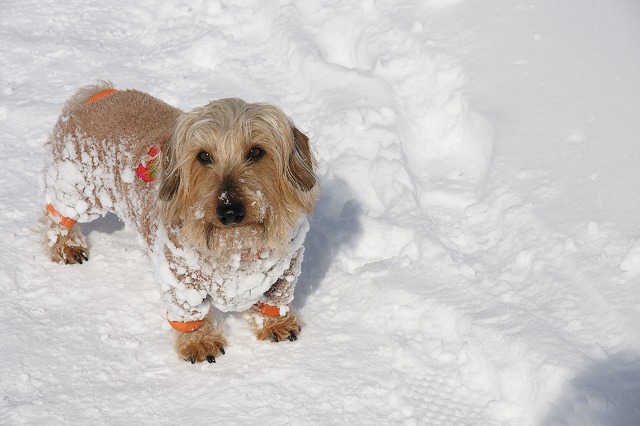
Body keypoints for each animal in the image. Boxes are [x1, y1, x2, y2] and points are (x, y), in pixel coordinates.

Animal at [42, 82, 318, 362]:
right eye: (204, 156)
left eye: (256, 151)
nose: (230, 211)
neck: (235, 247)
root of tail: (99, 93)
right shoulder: (180, 275)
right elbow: (188, 312)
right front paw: (199, 342)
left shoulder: (284, 270)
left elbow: (274, 301)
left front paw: (276, 324)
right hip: (77, 187)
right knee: (55, 216)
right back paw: (66, 245)